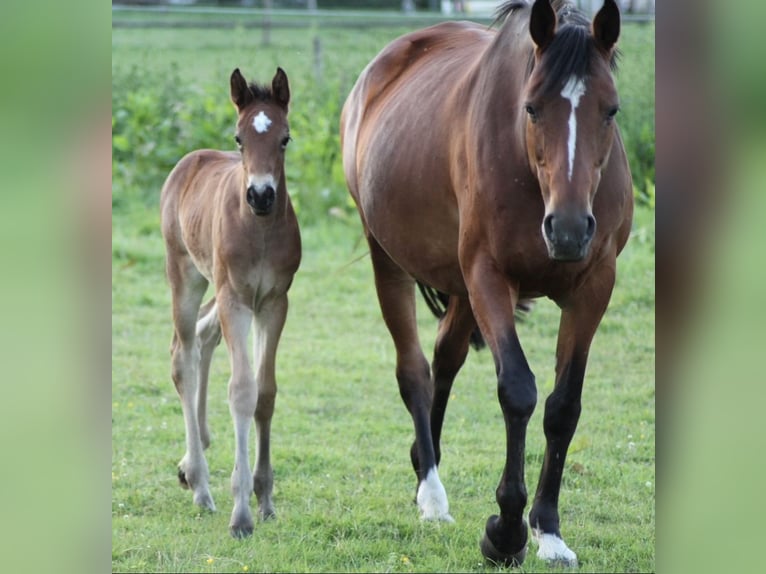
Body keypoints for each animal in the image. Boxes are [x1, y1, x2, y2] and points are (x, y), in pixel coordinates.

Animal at [160, 67, 301, 538]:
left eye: (285, 138)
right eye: (239, 138)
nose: (261, 195)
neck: (258, 229)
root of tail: (191, 160)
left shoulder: (273, 302)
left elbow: (265, 392)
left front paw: (265, 498)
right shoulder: (236, 300)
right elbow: (241, 390)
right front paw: (241, 514)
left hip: (219, 293)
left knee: (203, 339)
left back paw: (193, 461)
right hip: (186, 274)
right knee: (182, 355)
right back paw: (201, 485)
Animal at [340, 0, 633, 566]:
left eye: (610, 110)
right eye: (532, 108)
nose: (567, 229)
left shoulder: (593, 287)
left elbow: (564, 407)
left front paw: (548, 531)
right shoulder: (489, 277)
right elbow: (517, 390)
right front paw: (506, 532)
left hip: (458, 287)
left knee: (445, 360)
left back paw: (423, 463)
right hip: (390, 261)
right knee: (414, 370)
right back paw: (431, 494)